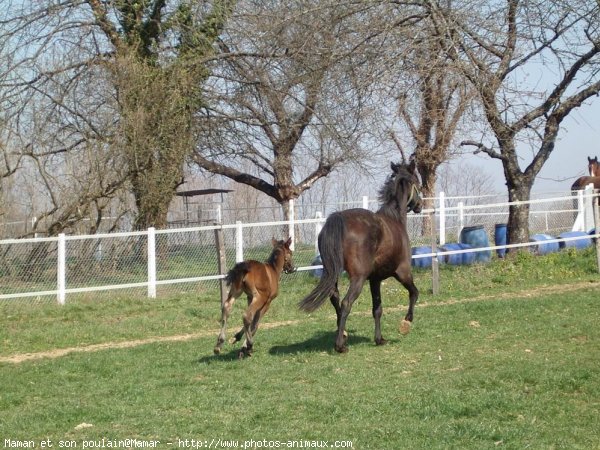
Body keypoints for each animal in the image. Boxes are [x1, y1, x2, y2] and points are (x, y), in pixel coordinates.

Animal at [298, 160, 422, 354]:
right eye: (417, 181)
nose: (420, 205)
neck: (394, 219)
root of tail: (339, 218)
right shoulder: (402, 272)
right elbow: (414, 293)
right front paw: (405, 323)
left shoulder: (375, 279)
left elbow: (377, 309)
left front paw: (379, 339)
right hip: (358, 278)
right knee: (346, 302)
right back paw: (340, 345)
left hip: (332, 273)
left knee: (334, 297)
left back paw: (343, 334)